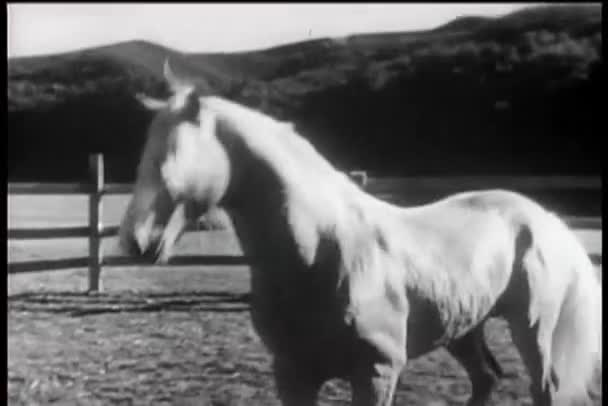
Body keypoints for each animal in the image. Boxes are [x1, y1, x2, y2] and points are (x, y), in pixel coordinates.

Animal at [120, 60, 604, 406]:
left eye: (171, 156)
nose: (134, 242)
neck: (322, 254)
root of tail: (540, 215)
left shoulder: (376, 373)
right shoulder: (293, 376)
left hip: (532, 327)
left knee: (544, 388)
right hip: (465, 325)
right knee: (485, 381)